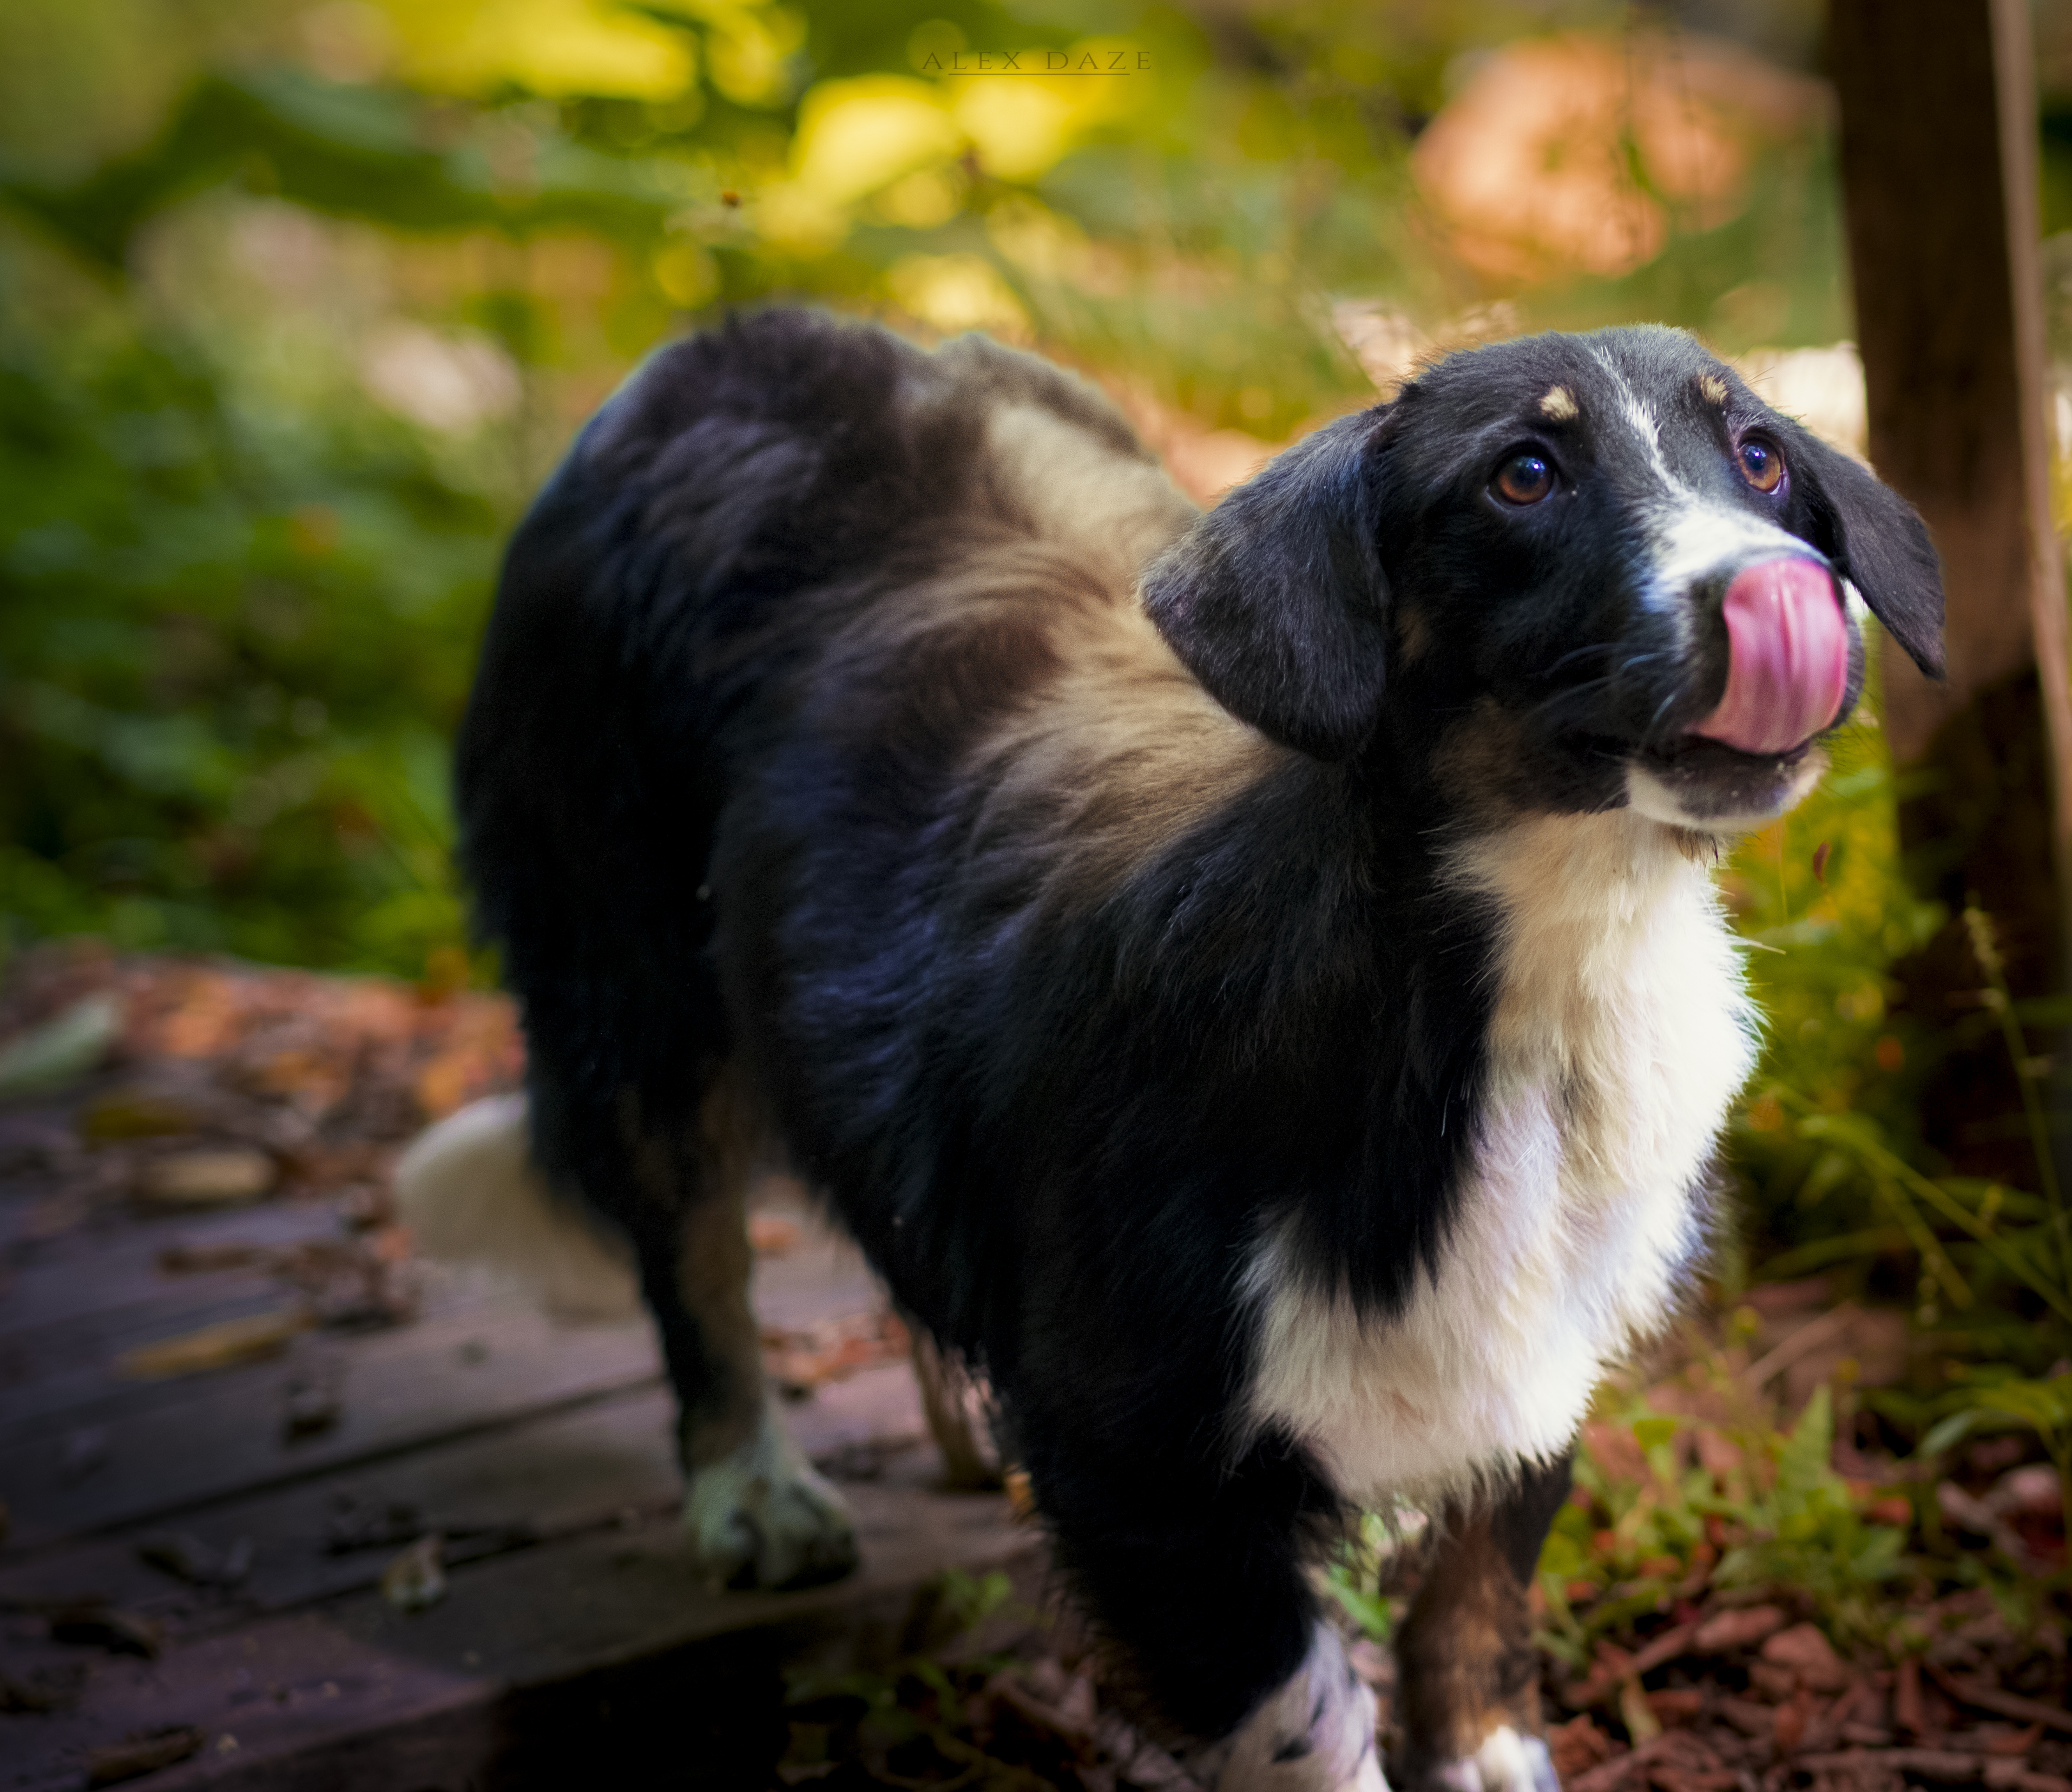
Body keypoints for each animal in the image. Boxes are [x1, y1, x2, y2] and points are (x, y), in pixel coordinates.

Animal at [400, 310, 1939, 1790]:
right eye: (1523, 474)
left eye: (1756, 455)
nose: (1774, 588)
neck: (1518, 986)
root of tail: (718, 344)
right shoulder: (1142, 1476)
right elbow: (1304, 1721)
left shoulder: (1539, 1364)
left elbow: (1477, 1603)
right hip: (628, 977)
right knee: (694, 1249)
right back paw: (750, 1490)